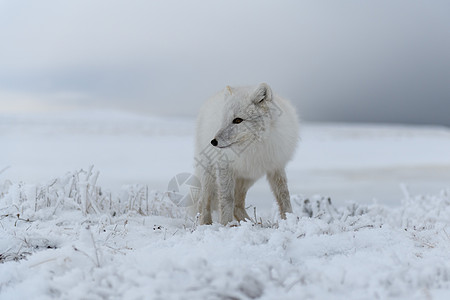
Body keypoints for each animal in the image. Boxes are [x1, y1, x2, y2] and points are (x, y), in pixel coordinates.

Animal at [193, 82, 298, 225]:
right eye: (223, 120)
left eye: (238, 120)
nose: (213, 142)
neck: (253, 147)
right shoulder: (224, 166)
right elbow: (226, 199)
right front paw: (226, 225)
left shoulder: (276, 166)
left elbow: (284, 195)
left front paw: (289, 220)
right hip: (210, 175)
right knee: (203, 201)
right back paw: (206, 224)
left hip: (247, 178)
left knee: (238, 204)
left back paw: (251, 223)